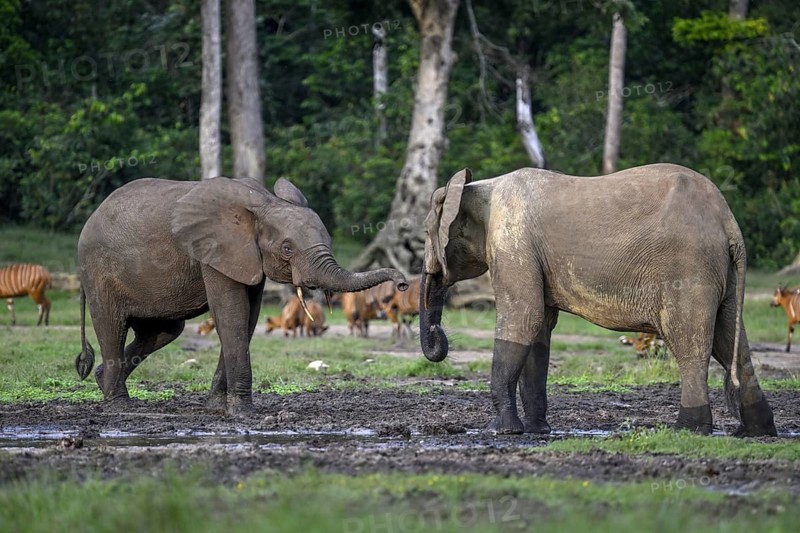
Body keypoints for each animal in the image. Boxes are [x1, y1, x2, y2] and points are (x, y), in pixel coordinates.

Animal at [74, 176, 407, 414]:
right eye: (287, 248)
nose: (402, 284)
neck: (263, 205)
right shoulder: (216, 251)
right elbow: (231, 315)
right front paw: (242, 413)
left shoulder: (249, 259)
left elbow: (247, 319)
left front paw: (217, 407)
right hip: (98, 271)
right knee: (112, 327)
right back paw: (119, 405)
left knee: (163, 332)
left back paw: (102, 380)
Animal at [419, 165, 777, 437]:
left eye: (425, 233)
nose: (439, 337)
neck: (479, 187)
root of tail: (727, 220)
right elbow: (538, 331)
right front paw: (537, 431)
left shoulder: (512, 243)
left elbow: (522, 319)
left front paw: (503, 431)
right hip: (723, 273)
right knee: (731, 342)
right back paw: (755, 432)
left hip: (690, 269)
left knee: (690, 343)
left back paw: (687, 430)